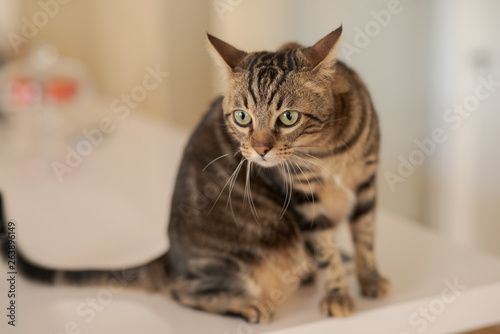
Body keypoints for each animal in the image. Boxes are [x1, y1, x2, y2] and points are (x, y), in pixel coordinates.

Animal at [0, 26, 390, 324]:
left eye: (289, 117)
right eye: (242, 117)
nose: (260, 150)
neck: (328, 155)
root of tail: (169, 258)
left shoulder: (367, 186)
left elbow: (366, 238)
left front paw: (370, 279)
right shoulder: (304, 201)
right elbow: (324, 250)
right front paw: (338, 293)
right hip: (236, 265)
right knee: (183, 291)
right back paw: (249, 304)